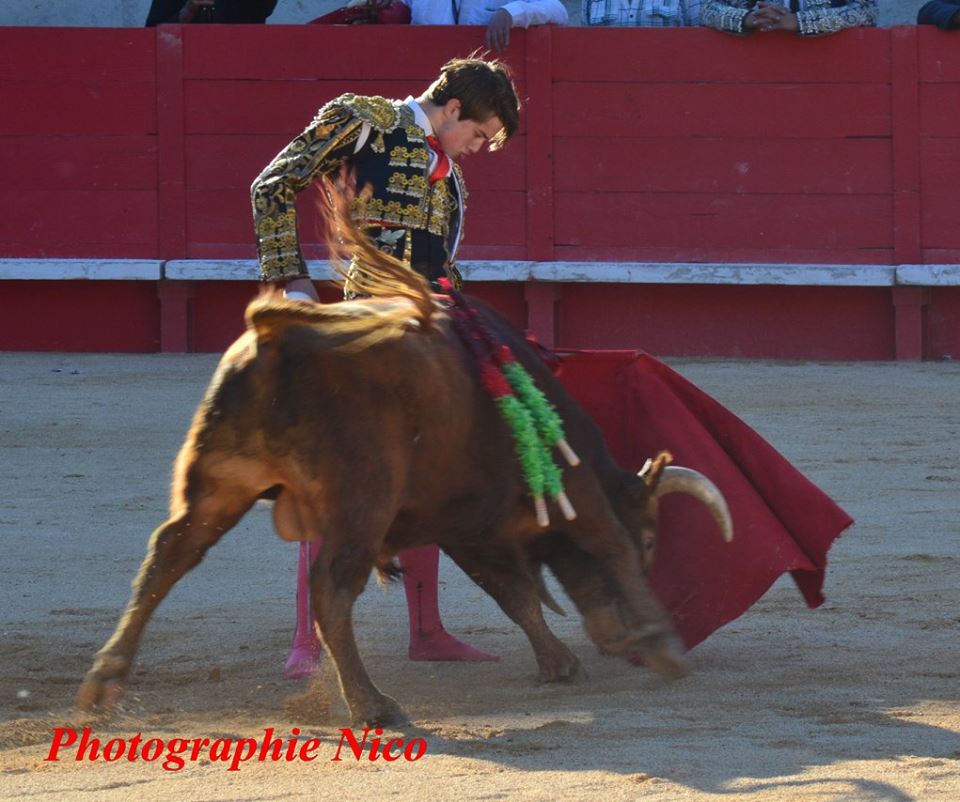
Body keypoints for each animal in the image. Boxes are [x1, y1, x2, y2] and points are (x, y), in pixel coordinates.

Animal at [76, 213, 732, 727]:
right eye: (651, 538)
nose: (616, 639)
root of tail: (277, 336)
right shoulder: (572, 493)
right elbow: (600, 550)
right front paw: (663, 646)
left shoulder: (468, 525)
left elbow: (514, 592)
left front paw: (560, 662)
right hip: (360, 503)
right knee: (329, 588)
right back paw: (372, 705)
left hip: (220, 482)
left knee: (170, 553)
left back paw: (105, 683)